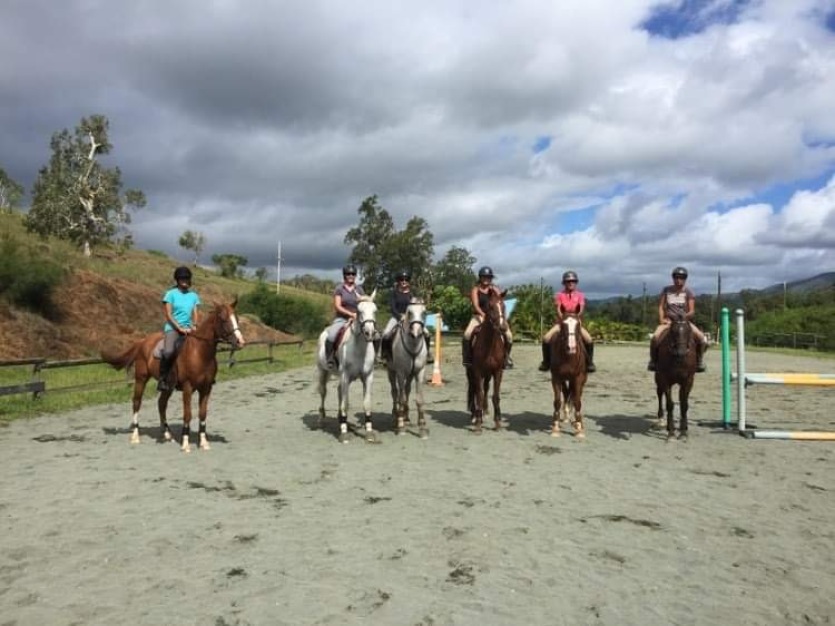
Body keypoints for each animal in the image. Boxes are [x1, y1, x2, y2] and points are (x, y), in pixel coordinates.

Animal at [100, 299, 245, 452]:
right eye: (223, 319)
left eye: (236, 318)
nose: (240, 341)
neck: (200, 352)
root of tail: (143, 341)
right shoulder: (188, 388)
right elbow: (187, 415)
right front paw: (185, 444)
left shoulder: (206, 388)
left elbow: (202, 414)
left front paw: (204, 442)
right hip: (141, 379)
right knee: (136, 403)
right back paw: (135, 436)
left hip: (168, 386)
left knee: (161, 404)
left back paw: (167, 434)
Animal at [316, 291, 379, 443]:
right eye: (359, 311)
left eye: (375, 310)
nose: (370, 333)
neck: (359, 349)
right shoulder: (345, 376)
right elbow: (345, 404)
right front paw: (344, 434)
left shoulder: (368, 376)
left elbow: (366, 403)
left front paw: (369, 433)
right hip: (323, 371)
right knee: (323, 392)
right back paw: (321, 419)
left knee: (339, 391)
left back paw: (340, 420)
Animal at [385, 299, 429, 438]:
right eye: (409, 312)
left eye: (424, 312)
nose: (416, 333)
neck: (413, 346)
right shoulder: (400, 373)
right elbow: (401, 397)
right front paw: (401, 426)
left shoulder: (419, 372)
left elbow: (419, 399)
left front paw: (422, 428)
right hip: (391, 371)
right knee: (395, 392)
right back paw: (396, 415)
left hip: (410, 375)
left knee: (407, 390)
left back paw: (406, 417)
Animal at [466, 288, 508, 433]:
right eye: (490, 306)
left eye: (504, 306)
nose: (503, 328)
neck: (489, 344)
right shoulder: (477, 371)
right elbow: (478, 394)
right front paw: (478, 424)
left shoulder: (498, 371)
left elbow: (495, 396)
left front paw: (497, 422)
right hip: (470, 372)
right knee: (474, 389)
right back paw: (475, 415)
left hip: (488, 374)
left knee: (485, 387)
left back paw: (485, 411)